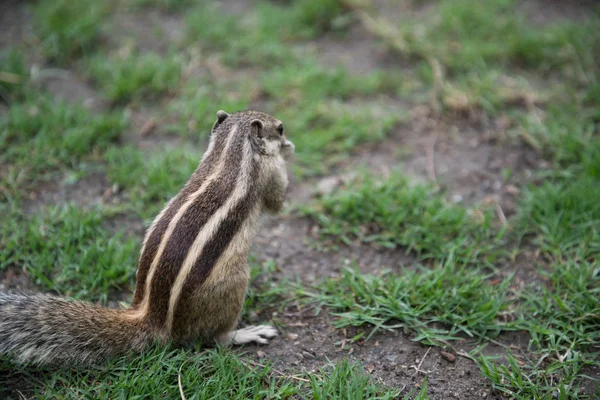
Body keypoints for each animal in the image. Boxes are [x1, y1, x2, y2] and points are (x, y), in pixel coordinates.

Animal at [0, 109, 296, 366]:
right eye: (280, 128)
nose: (286, 137)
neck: (229, 151)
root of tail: (150, 316)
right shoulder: (267, 176)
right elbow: (277, 201)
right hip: (233, 283)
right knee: (214, 338)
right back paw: (245, 333)